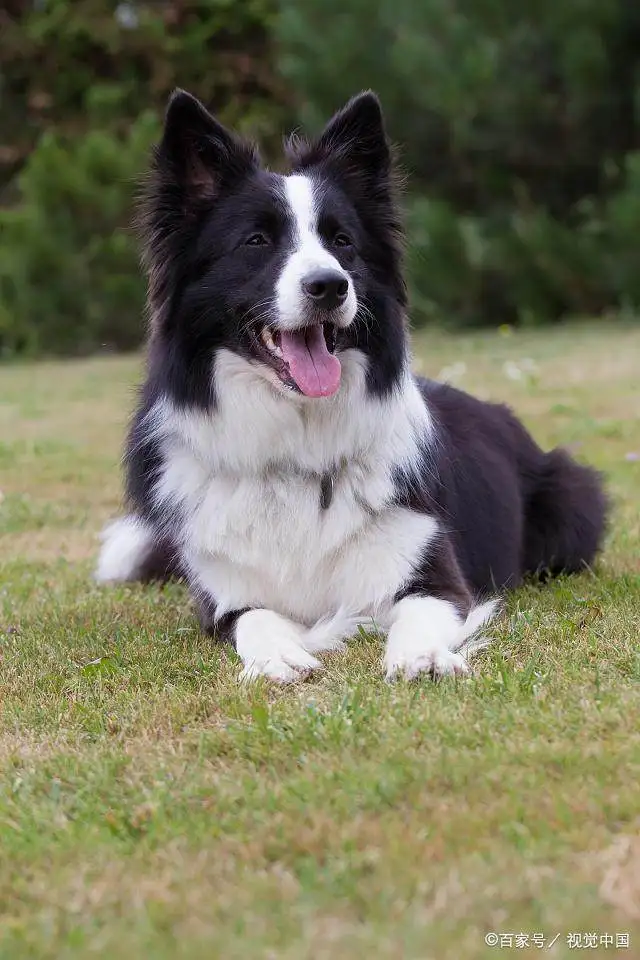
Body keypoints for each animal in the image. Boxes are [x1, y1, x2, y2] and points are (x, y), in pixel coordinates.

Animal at [94, 88, 604, 684]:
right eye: (256, 241)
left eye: (342, 242)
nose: (329, 285)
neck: (296, 451)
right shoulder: (222, 599)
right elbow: (256, 619)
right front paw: (277, 655)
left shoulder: (434, 576)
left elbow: (420, 614)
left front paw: (422, 656)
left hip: (571, 501)